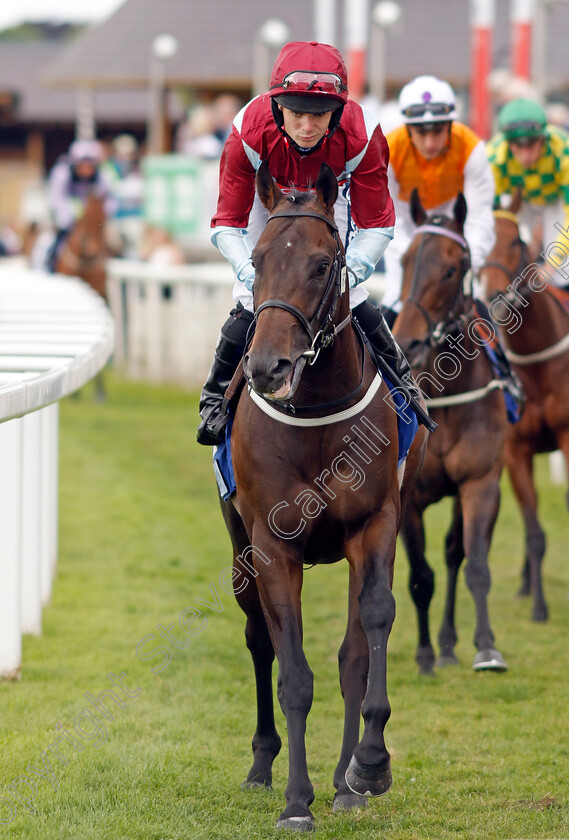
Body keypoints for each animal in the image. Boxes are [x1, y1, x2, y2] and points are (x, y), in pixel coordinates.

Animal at [217, 161, 426, 832]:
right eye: (255, 261)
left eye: (321, 263)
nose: (269, 367)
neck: (314, 415)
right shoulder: (272, 546)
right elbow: (293, 673)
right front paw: (294, 801)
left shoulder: (376, 523)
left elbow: (368, 634)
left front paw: (368, 767)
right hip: (239, 551)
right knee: (259, 640)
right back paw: (263, 766)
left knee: (351, 652)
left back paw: (344, 780)